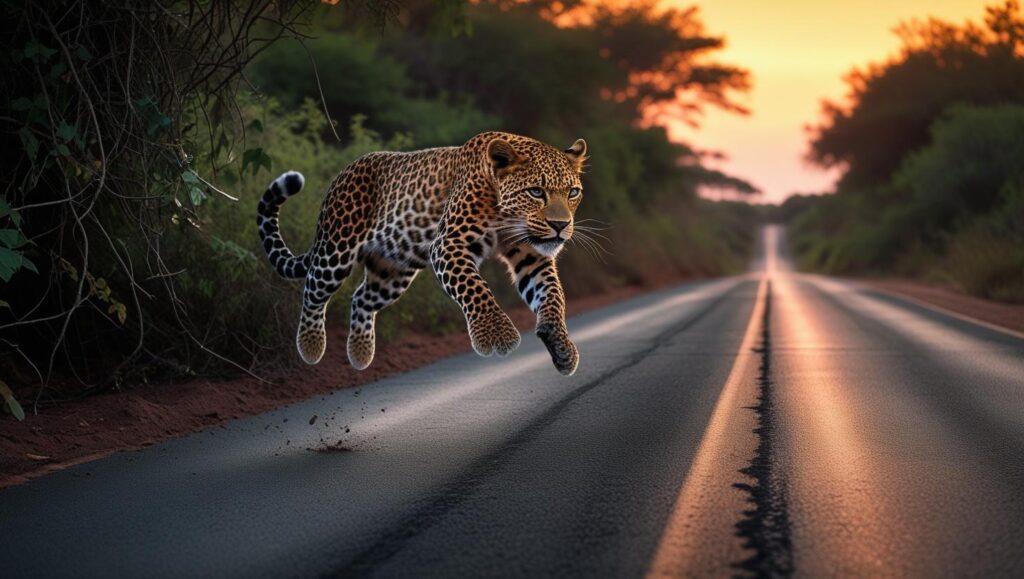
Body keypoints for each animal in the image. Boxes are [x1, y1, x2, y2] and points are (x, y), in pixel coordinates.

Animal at [257, 131, 587, 375]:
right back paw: (310, 347)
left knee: (361, 298)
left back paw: (360, 355)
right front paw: (496, 336)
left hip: (393, 272)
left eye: (573, 192)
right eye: (536, 192)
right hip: (337, 250)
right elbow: (475, 288)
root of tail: (340, 175)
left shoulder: (531, 255)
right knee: (313, 289)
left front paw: (561, 345)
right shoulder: (448, 244)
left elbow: (551, 295)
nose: (560, 226)